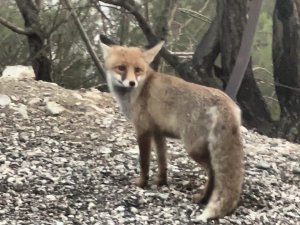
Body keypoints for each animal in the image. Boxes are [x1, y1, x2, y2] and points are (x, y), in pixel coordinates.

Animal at [99, 41, 245, 221]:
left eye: (138, 70)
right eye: (121, 68)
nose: (132, 83)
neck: (140, 90)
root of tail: (226, 101)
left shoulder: (143, 130)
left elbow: (144, 162)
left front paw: (142, 183)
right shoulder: (158, 133)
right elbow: (163, 161)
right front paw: (161, 181)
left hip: (193, 149)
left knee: (213, 172)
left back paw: (202, 198)